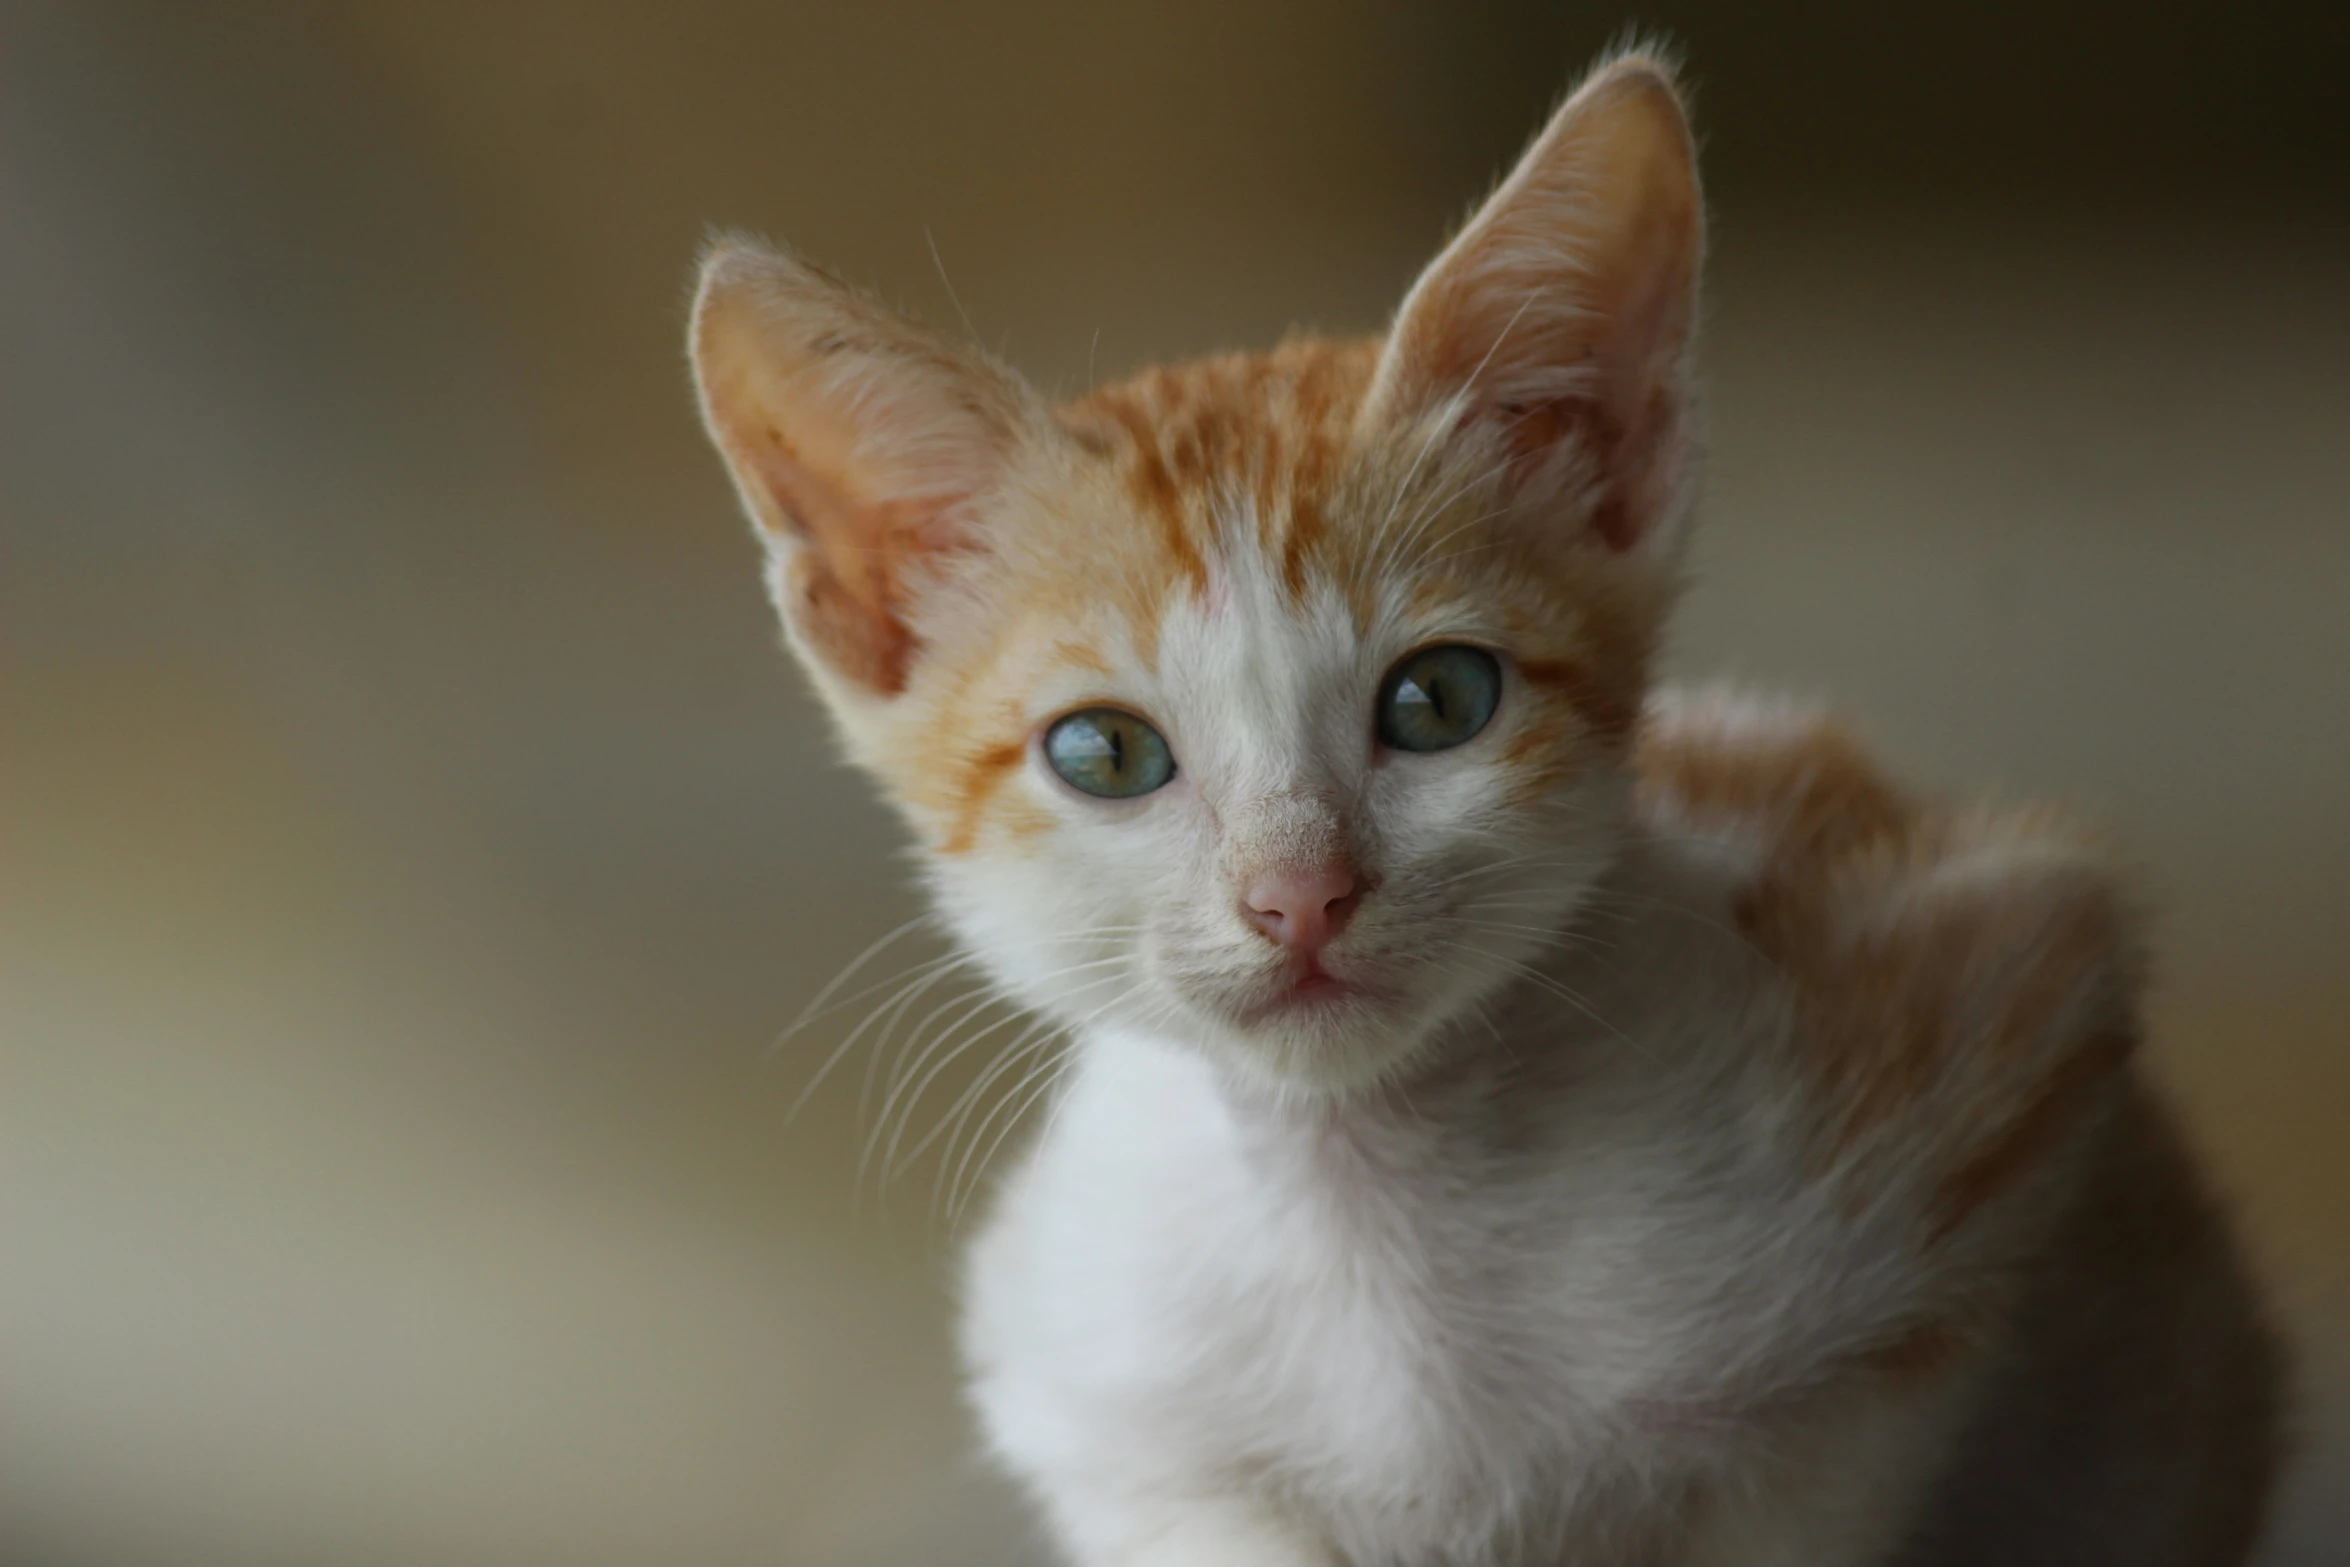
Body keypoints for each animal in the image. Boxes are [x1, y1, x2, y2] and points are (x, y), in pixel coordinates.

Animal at [686, 49, 2284, 1567]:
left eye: (1439, 699)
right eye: (1107, 754)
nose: (1300, 892)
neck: (1370, 1201)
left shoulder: (2002, 1010)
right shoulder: (1100, 1395)